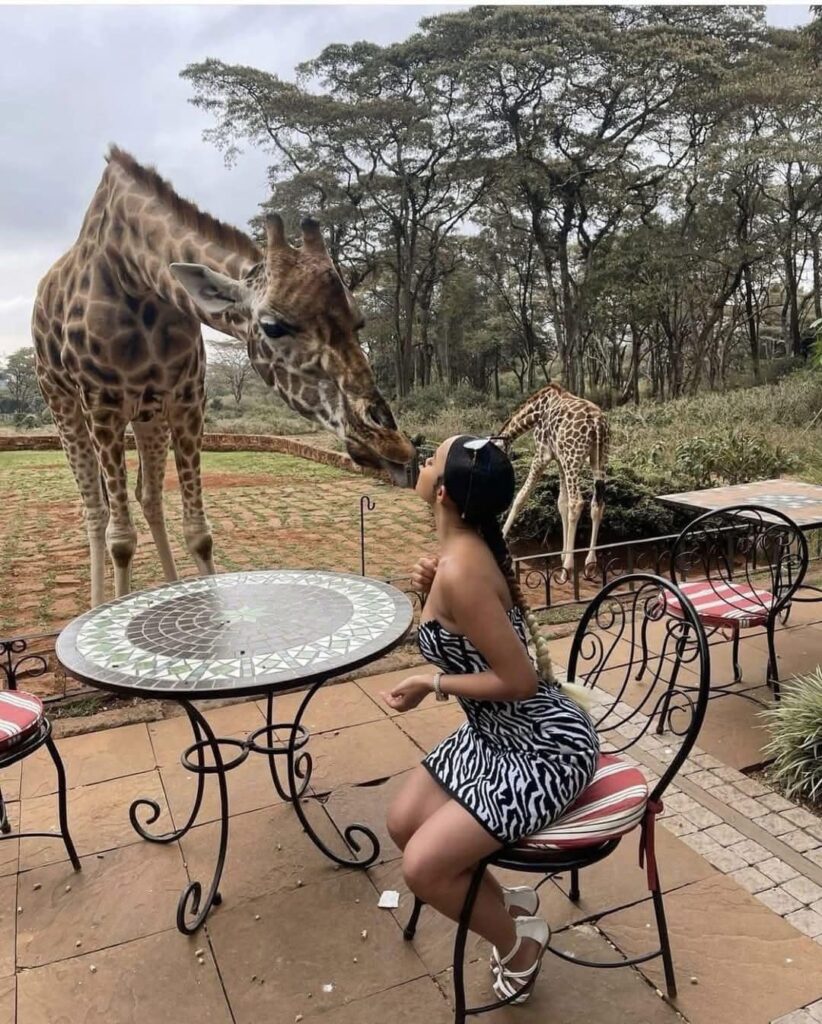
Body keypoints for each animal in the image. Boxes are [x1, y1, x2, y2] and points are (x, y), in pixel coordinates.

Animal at [32, 145, 417, 606]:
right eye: (273, 326)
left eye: (359, 321)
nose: (394, 446)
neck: (137, 276)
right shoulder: (102, 405)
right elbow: (121, 541)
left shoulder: (186, 399)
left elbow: (198, 533)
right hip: (62, 401)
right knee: (96, 509)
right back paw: (98, 601)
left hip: (147, 414)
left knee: (150, 499)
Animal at [497, 385, 606, 577]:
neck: (538, 410)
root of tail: (597, 422)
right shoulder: (559, 459)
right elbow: (562, 503)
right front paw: (562, 554)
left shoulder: (542, 455)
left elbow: (521, 497)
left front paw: (501, 535)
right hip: (599, 457)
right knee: (597, 504)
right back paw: (590, 563)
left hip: (573, 458)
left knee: (577, 502)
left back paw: (568, 568)